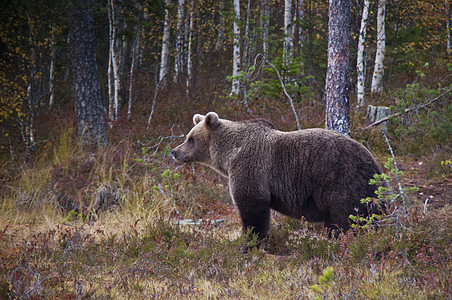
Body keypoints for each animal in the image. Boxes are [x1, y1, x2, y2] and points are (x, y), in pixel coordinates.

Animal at [173, 112, 384, 248]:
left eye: (190, 138)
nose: (174, 151)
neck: (229, 155)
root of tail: (375, 166)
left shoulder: (251, 168)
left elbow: (253, 208)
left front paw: (250, 242)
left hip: (343, 182)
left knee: (344, 220)